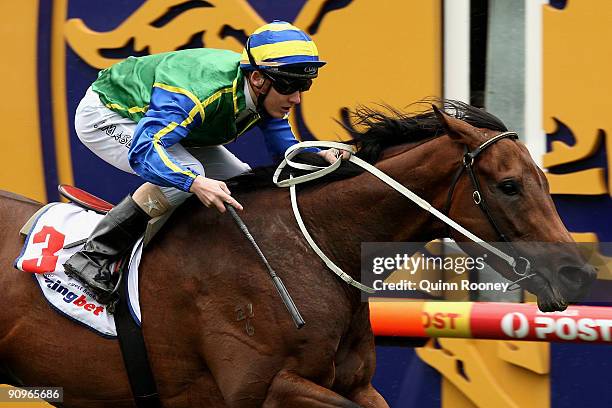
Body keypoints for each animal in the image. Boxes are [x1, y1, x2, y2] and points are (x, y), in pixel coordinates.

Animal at [0, 100, 596, 406]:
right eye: (509, 186)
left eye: (544, 180)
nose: (577, 273)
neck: (309, 248)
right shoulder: (262, 390)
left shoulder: (357, 385)